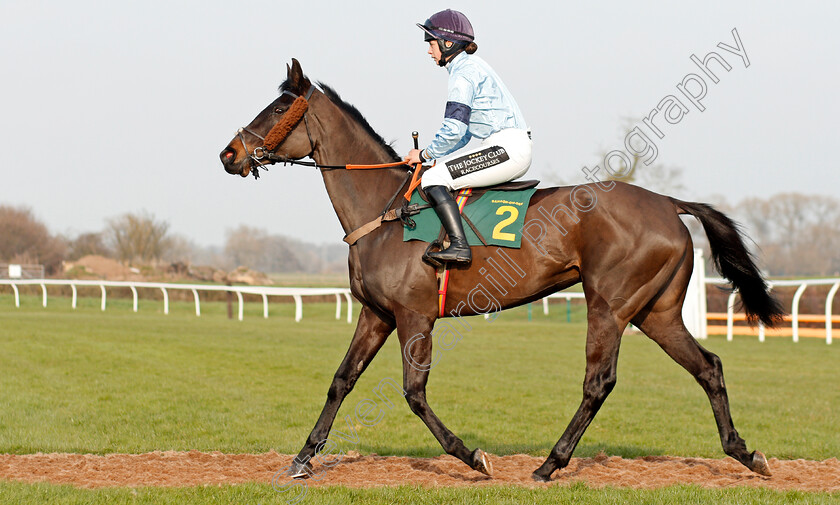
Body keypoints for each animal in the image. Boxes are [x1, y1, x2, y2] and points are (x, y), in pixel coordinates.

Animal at [220, 59, 784, 480]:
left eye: (278, 107)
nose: (229, 153)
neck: (385, 212)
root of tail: (669, 203)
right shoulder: (376, 315)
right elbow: (341, 381)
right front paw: (302, 459)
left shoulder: (414, 317)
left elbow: (413, 393)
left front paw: (473, 456)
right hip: (656, 312)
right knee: (708, 366)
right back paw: (745, 452)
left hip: (609, 305)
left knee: (598, 382)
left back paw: (550, 464)